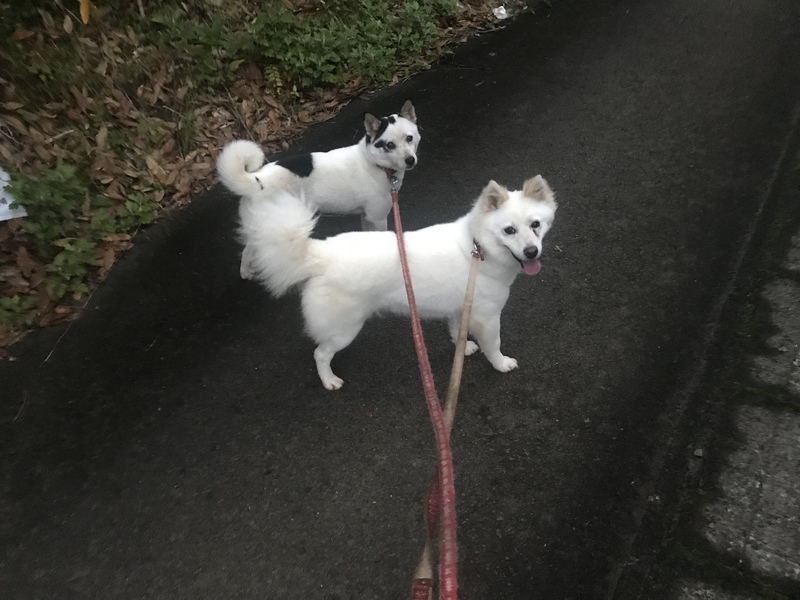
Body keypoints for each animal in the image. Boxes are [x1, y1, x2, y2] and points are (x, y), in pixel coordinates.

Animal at [217, 100, 420, 279]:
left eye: (409, 138)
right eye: (390, 145)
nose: (410, 160)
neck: (375, 163)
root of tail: (257, 180)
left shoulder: (367, 216)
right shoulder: (378, 218)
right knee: (248, 251)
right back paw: (247, 272)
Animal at [233, 174, 557, 390]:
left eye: (535, 225)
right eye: (509, 230)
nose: (532, 252)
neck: (478, 249)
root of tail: (320, 253)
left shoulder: (460, 307)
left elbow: (457, 331)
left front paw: (463, 349)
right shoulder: (488, 317)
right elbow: (494, 345)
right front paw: (502, 364)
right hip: (344, 330)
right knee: (320, 353)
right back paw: (330, 380)